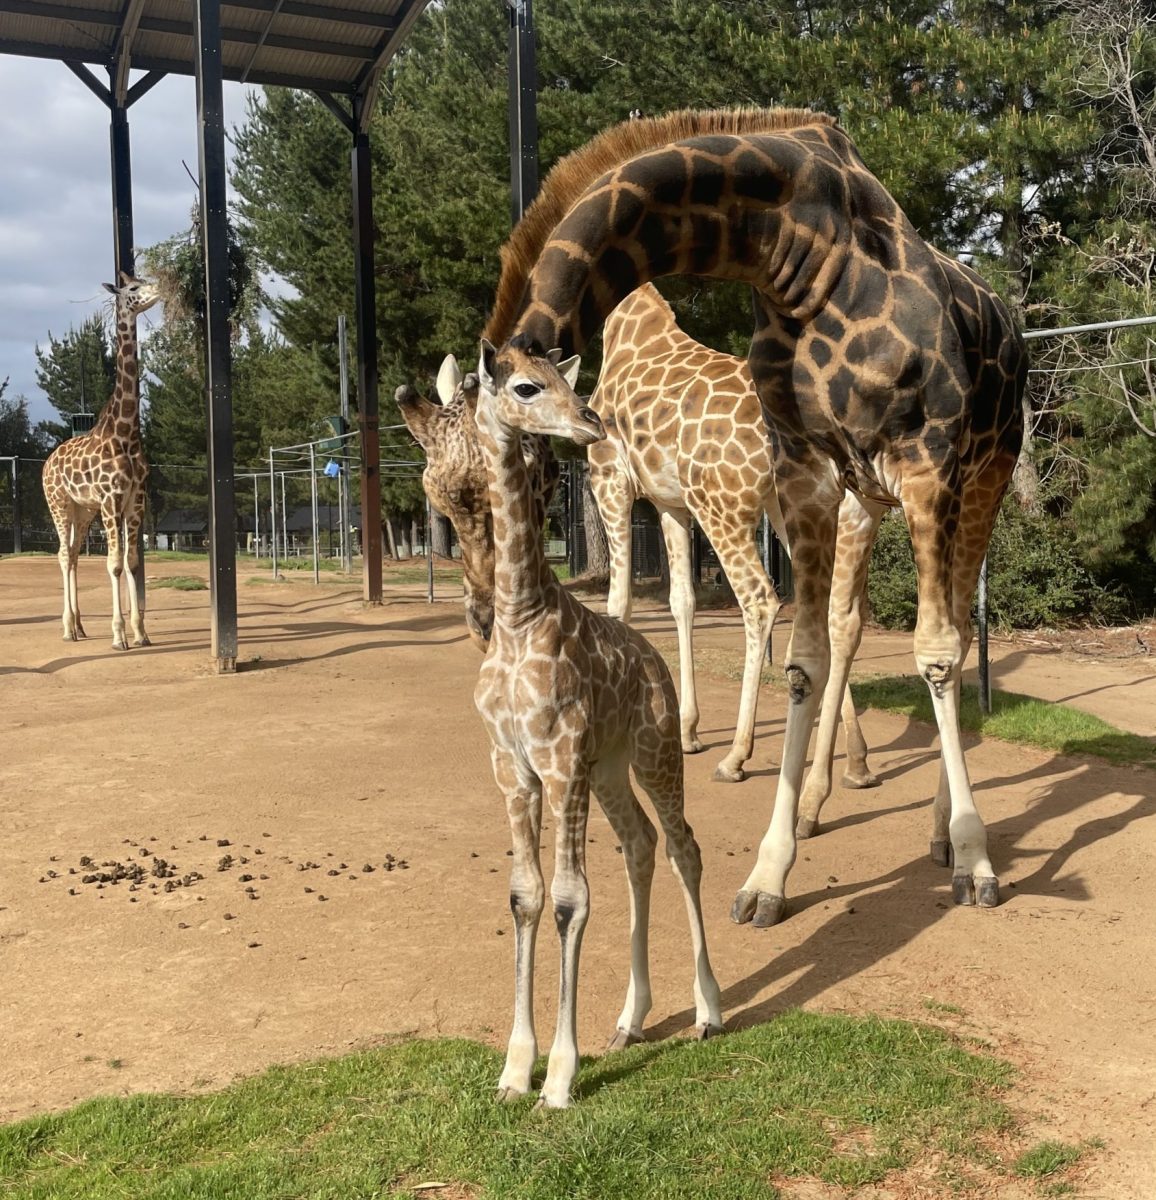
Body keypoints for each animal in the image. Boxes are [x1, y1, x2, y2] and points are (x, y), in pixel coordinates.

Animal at [470, 336, 725, 1104]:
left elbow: (569, 900)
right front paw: (514, 1071)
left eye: (565, 380)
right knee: (639, 845)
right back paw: (630, 1020)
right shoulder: (513, 768)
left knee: (682, 848)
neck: (518, 617)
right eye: (525, 387)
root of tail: (655, 660)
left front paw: (558, 1076)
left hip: (652, 751)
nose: (590, 422)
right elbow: (525, 896)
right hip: (610, 770)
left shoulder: (561, 760)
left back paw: (708, 1011)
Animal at [482, 105, 1027, 926]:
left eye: (523, 389)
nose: (587, 430)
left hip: (984, 476)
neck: (793, 255)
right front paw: (770, 874)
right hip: (866, 499)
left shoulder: (926, 461)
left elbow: (933, 651)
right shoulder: (807, 472)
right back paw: (842, 802)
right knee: (852, 624)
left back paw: (944, 833)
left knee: (957, 633)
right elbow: (804, 660)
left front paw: (976, 861)